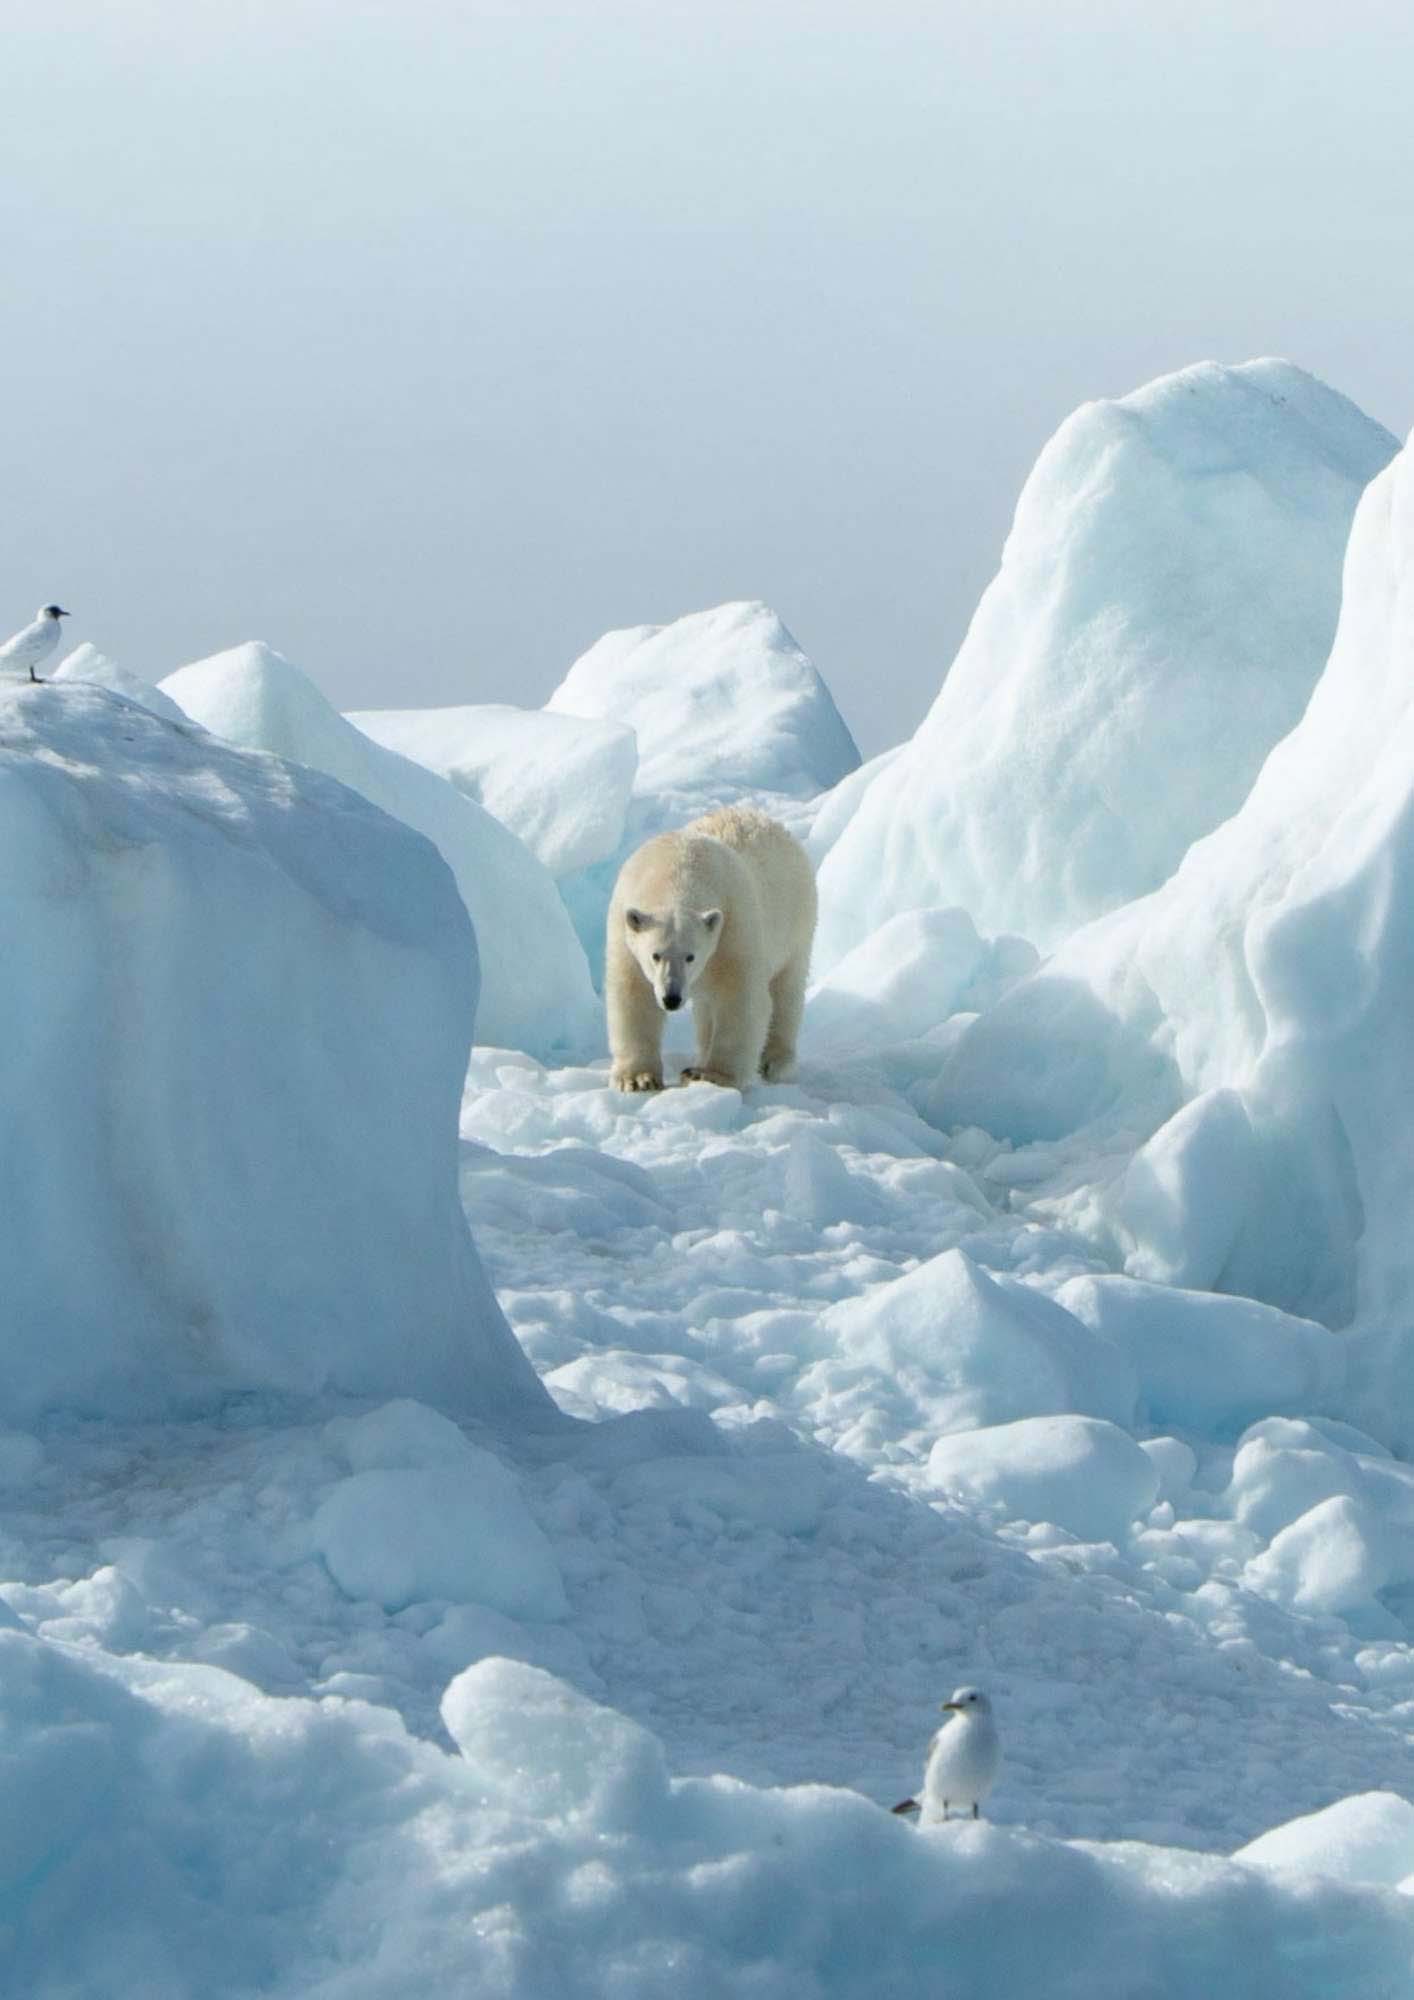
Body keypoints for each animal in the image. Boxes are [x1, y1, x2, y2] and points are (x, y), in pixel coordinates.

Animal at [604, 804, 812, 1096]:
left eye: (691, 956)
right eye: (655, 955)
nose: (671, 998)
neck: (676, 870)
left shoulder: (732, 931)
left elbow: (740, 998)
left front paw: (711, 1076)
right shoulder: (624, 933)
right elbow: (633, 996)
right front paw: (638, 1079)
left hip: (795, 923)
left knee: (787, 989)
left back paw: (773, 1062)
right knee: (705, 1009)